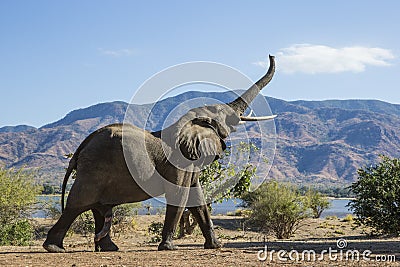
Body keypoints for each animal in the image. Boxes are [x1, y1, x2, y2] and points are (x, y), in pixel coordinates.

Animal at [43, 56, 276, 253]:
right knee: (78, 204)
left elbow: (198, 198)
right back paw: (54, 248)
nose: (271, 55)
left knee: (98, 208)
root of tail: (83, 145)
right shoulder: (179, 161)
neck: (188, 122)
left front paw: (215, 246)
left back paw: (110, 249)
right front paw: (169, 248)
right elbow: (180, 195)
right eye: (226, 116)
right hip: (94, 169)